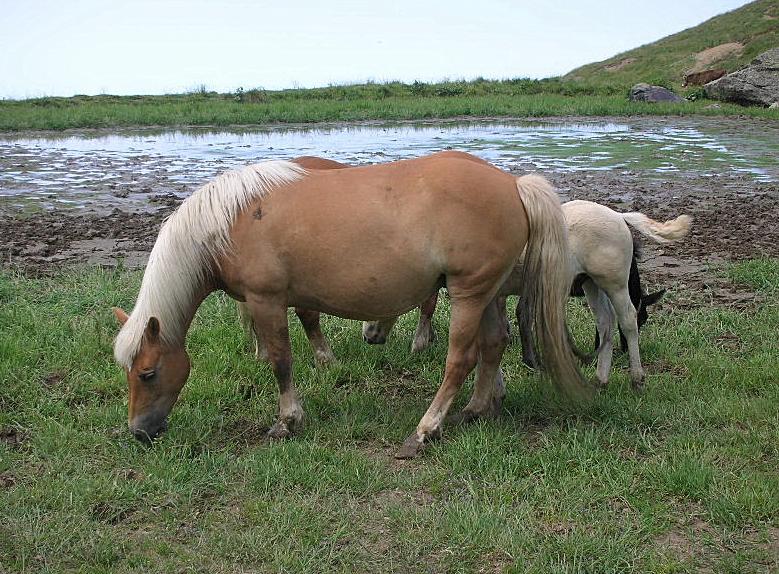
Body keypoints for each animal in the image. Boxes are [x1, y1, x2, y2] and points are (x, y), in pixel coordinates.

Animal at [112, 152, 588, 460]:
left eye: (148, 373)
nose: (138, 431)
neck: (230, 220)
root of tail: (512, 184)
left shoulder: (267, 301)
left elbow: (281, 363)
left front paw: (288, 420)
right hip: (485, 292)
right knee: (493, 346)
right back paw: (475, 410)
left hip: (469, 293)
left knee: (460, 359)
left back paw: (426, 429)